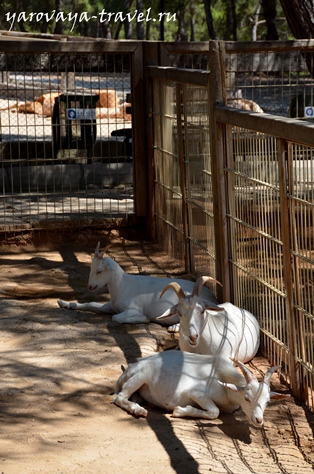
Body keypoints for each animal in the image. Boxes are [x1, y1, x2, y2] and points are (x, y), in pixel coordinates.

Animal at [57, 243, 220, 324]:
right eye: (91, 268)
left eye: (99, 271)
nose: (90, 286)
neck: (124, 285)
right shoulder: (110, 306)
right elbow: (90, 304)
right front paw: (63, 303)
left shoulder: (133, 309)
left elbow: (116, 318)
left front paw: (145, 319)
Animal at [113, 352, 290, 426]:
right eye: (247, 398)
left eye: (267, 402)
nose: (258, 420)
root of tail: (127, 370)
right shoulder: (194, 392)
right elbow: (214, 412)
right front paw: (179, 411)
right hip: (142, 375)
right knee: (119, 397)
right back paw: (139, 410)